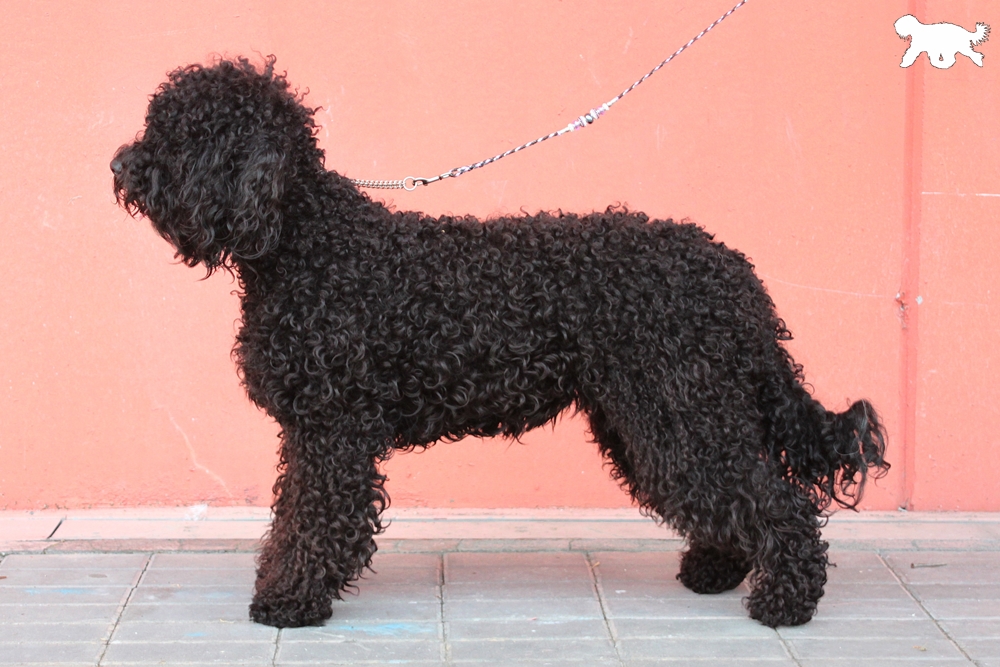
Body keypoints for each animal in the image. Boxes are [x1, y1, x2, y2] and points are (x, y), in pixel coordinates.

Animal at [112, 57, 888, 629]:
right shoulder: (311, 431)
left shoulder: (332, 430)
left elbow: (315, 518)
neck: (309, 243)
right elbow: (291, 515)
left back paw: (786, 602)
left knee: (778, 502)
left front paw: (288, 601)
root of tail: (735, 274)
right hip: (655, 418)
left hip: (682, 412)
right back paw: (717, 571)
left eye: (185, 134)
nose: (121, 166)